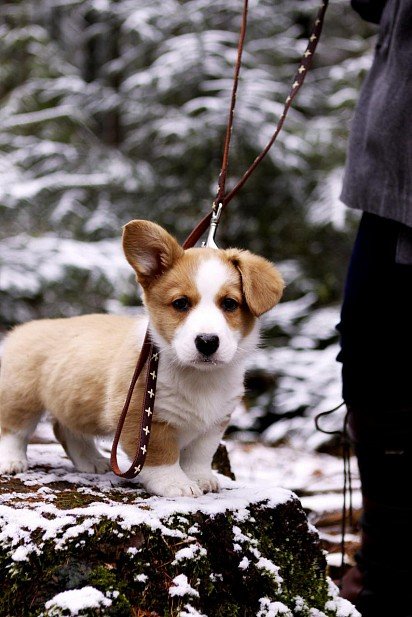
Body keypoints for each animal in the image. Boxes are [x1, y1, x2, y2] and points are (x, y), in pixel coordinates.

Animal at [0, 221, 284, 496]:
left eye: (229, 304)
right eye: (181, 303)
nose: (207, 342)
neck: (200, 378)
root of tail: (21, 330)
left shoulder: (215, 422)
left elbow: (200, 455)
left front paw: (201, 478)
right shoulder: (140, 418)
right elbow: (161, 456)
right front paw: (176, 484)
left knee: (66, 430)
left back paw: (91, 460)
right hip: (21, 397)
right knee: (13, 430)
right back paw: (12, 461)